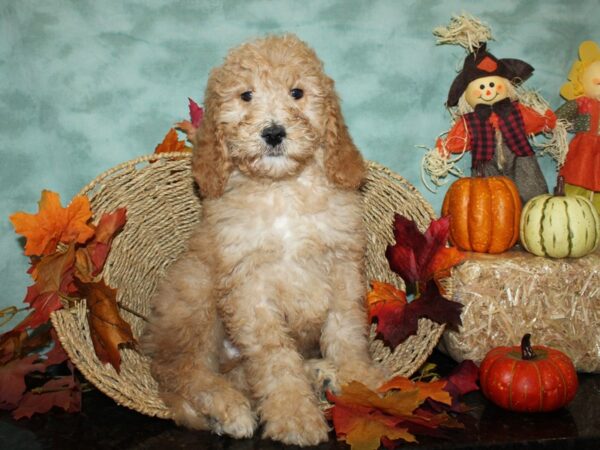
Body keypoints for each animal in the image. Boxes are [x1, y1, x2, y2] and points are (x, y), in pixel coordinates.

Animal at [145, 35, 386, 446]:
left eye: (297, 93)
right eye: (246, 96)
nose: (274, 133)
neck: (283, 190)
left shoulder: (343, 265)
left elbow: (347, 331)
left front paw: (360, 381)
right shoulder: (248, 286)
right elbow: (274, 358)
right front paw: (294, 415)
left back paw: (319, 373)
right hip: (197, 294)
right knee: (183, 369)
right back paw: (229, 409)